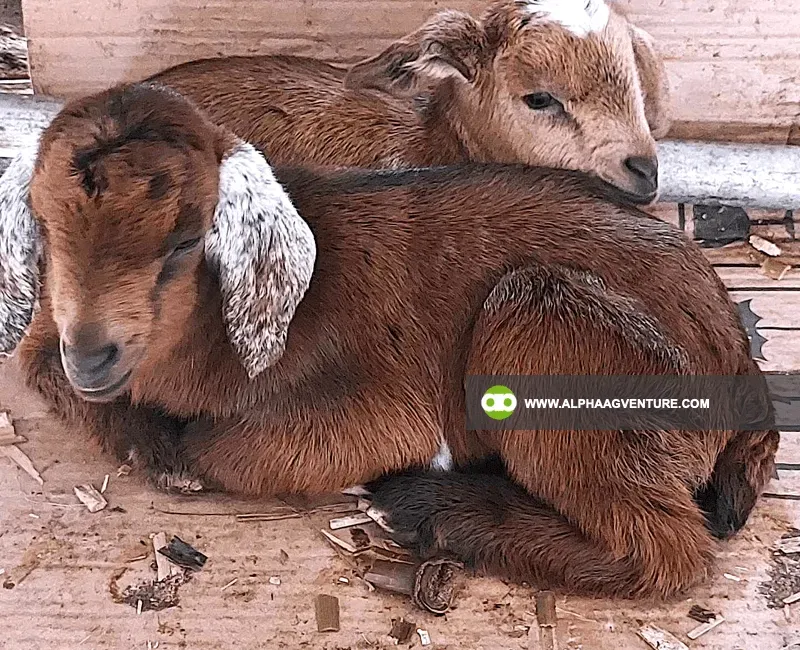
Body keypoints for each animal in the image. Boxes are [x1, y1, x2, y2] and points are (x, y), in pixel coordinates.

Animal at [0, 83, 777, 599]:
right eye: (46, 229)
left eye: (187, 242)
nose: (93, 353)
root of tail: (743, 375)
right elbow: (40, 366)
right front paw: (143, 435)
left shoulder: (372, 408)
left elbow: (220, 450)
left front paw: (173, 452)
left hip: (555, 327)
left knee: (667, 554)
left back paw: (438, 510)